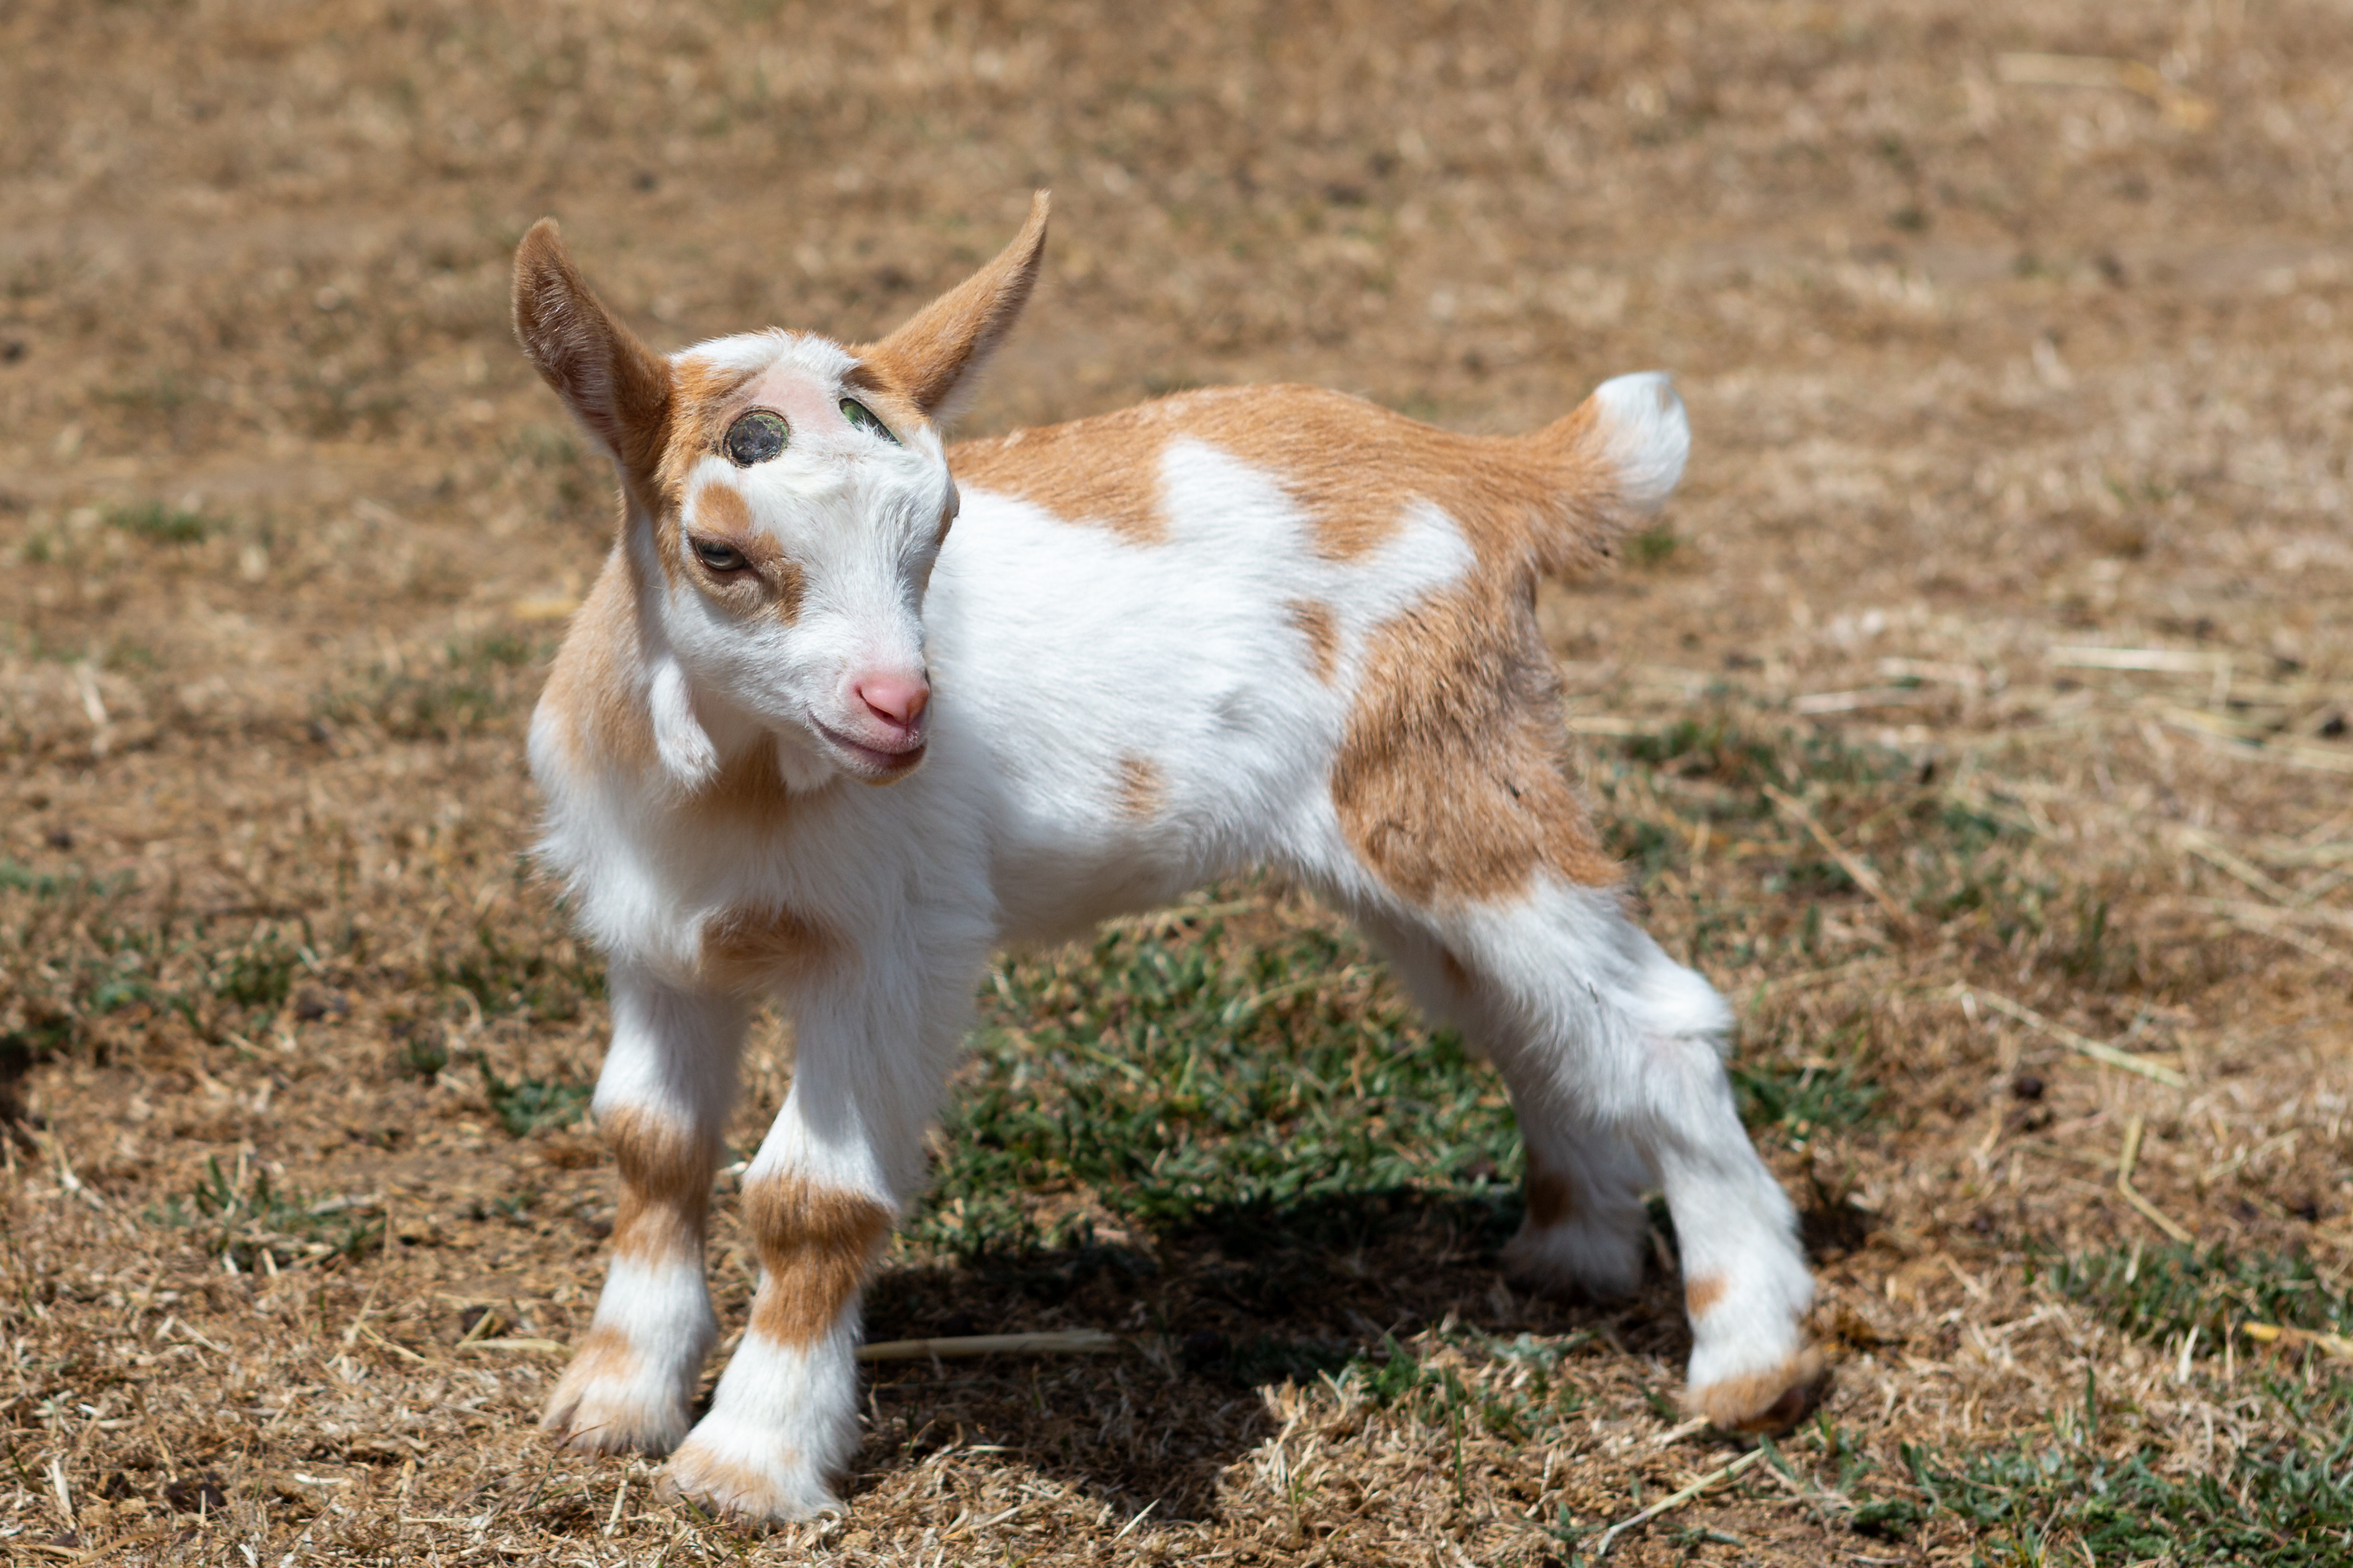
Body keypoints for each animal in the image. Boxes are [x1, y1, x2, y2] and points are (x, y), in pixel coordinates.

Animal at [510, 192, 1818, 1520]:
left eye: (938, 527)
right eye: (718, 553)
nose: (899, 708)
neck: (733, 780)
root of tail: (1483, 472)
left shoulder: (894, 945)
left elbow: (808, 1196)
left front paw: (746, 1465)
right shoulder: (653, 941)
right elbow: (650, 1143)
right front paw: (612, 1404)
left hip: (1457, 785)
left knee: (1658, 1019)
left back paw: (1749, 1360)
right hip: (1410, 832)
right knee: (1529, 1017)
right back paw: (1573, 1252)